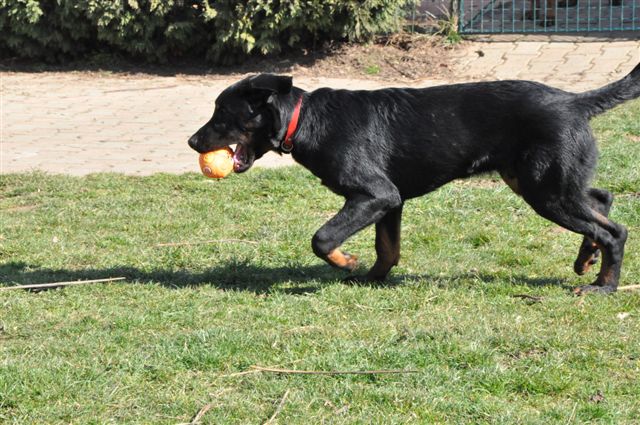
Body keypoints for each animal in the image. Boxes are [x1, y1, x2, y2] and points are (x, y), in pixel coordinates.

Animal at [189, 64, 640, 294]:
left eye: (222, 114)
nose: (192, 141)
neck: (307, 119)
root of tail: (574, 101)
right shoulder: (391, 201)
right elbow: (387, 250)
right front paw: (370, 280)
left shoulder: (375, 194)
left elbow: (323, 238)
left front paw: (346, 262)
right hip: (543, 180)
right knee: (601, 198)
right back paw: (587, 260)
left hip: (545, 189)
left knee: (614, 230)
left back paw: (603, 286)